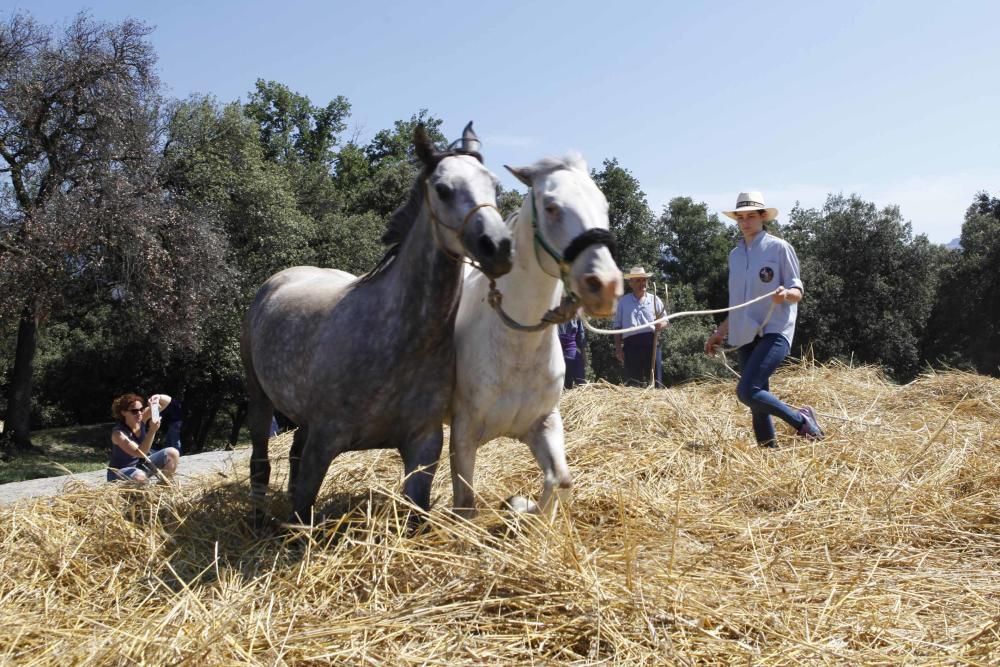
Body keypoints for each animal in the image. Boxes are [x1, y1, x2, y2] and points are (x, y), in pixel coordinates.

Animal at [238, 124, 512, 528]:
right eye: (443, 189)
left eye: (493, 184)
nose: (498, 246)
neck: (399, 341)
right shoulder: (325, 440)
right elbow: (304, 506)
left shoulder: (423, 444)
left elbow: (415, 514)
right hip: (259, 397)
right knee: (261, 461)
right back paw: (258, 521)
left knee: (292, 455)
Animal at [450, 155, 620, 516]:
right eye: (551, 207)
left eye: (604, 204)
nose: (605, 286)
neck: (517, 345)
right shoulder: (463, 433)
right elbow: (466, 505)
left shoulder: (543, 423)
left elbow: (561, 481)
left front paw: (523, 508)